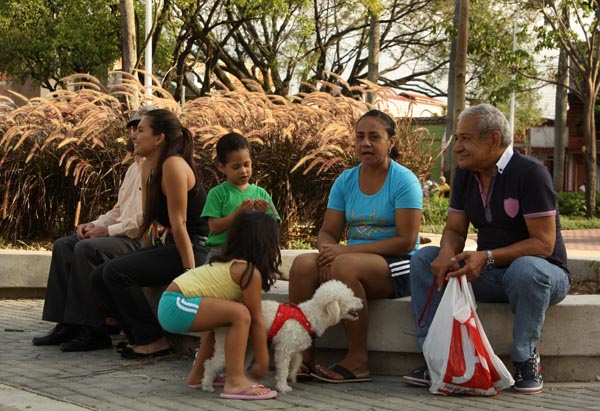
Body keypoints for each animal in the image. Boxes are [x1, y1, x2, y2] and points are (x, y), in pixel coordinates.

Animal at [202, 279, 363, 393]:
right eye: (350, 297)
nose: (361, 301)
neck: (308, 317)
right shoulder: (283, 350)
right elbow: (283, 369)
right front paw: (283, 386)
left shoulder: (293, 347)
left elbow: (298, 360)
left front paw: (293, 375)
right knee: (210, 364)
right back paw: (207, 385)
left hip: (247, 346)